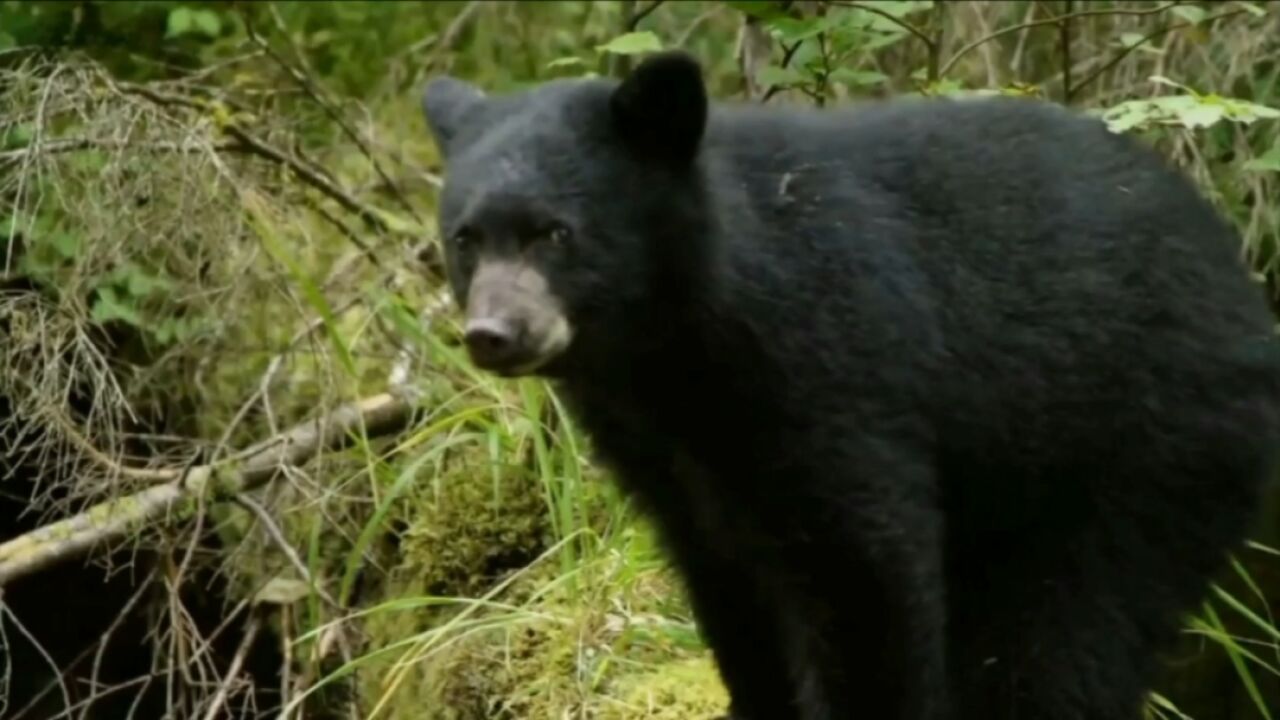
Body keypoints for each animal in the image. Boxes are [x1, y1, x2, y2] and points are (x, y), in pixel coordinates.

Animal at [417, 51, 1280, 717]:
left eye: (556, 233)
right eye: (466, 239)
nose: (494, 334)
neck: (674, 349)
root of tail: (1242, 288)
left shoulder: (831, 366)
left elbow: (863, 564)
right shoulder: (669, 460)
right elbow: (731, 593)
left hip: (1140, 450)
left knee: (1067, 641)